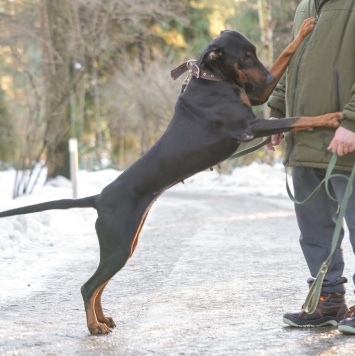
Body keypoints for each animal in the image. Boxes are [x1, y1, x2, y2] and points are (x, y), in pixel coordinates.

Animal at [0, 17, 340, 334]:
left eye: (254, 53)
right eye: (244, 57)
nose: (267, 78)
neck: (212, 79)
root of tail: (99, 197)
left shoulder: (256, 98)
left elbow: (285, 53)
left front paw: (306, 27)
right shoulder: (250, 126)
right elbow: (301, 118)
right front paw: (333, 117)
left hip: (124, 245)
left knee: (98, 286)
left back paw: (102, 319)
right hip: (118, 245)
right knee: (88, 286)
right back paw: (94, 326)